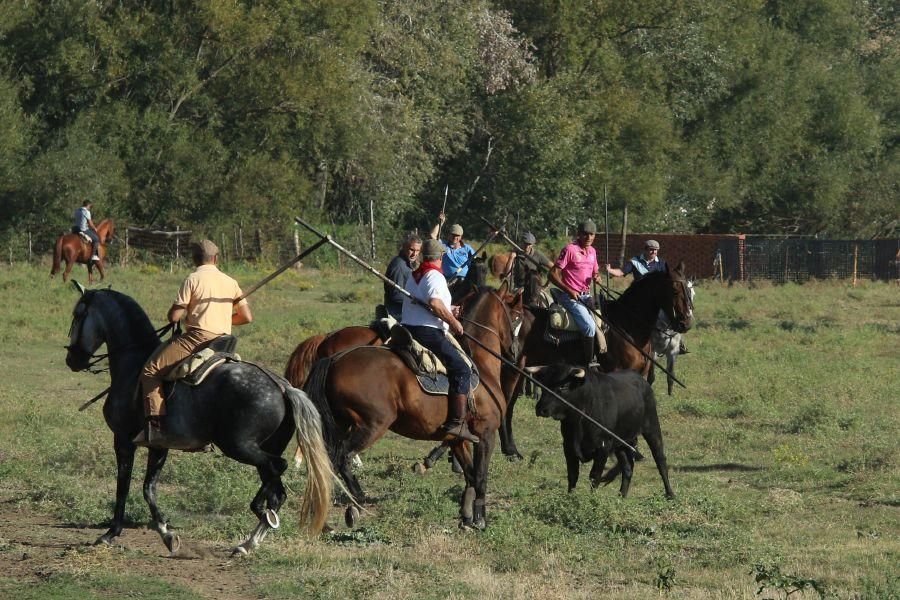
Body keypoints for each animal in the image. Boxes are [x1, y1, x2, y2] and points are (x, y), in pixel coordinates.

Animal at [65, 284, 336, 556]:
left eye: (77, 315)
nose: (71, 360)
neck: (133, 363)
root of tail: (282, 386)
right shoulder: (158, 445)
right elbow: (148, 488)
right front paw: (166, 534)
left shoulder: (122, 440)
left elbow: (124, 486)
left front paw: (111, 533)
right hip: (263, 446)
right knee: (276, 487)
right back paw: (251, 537)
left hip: (238, 446)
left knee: (277, 468)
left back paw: (258, 517)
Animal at [304, 282, 524, 528]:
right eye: (516, 315)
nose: (515, 351)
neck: (480, 366)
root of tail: (334, 359)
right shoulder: (486, 434)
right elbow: (480, 477)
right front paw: (479, 518)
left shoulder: (457, 439)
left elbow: (470, 475)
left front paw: (466, 515)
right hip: (371, 425)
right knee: (342, 457)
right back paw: (358, 501)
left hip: (341, 424)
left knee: (328, 460)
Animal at [496, 262, 692, 460]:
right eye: (675, 289)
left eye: (689, 289)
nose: (686, 323)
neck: (626, 326)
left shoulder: (639, 375)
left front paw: (634, 450)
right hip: (511, 371)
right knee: (507, 405)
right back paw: (511, 451)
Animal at [532, 364, 672, 500]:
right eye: (542, 384)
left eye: (563, 386)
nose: (540, 409)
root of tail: (642, 381)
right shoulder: (568, 446)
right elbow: (572, 475)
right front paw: (569, 499)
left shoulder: (603, 447)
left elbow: (594, 477)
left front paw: (592, 500)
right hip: (621, 443)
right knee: (628, 467)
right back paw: (622, 496)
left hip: (652, 428)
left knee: (660, 460)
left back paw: (670, 494)